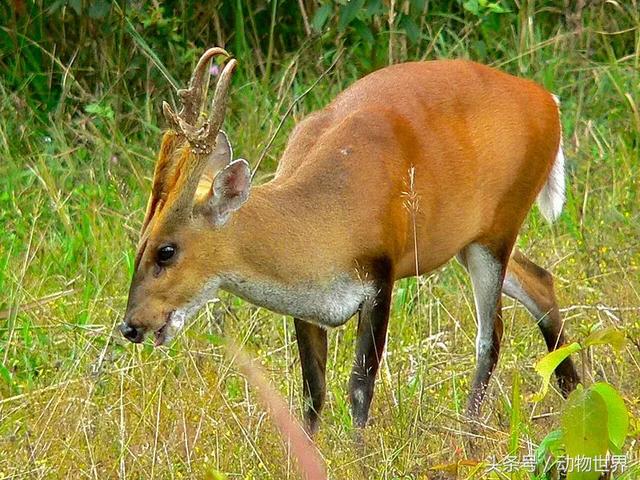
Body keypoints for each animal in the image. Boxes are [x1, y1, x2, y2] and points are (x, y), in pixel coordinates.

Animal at [120, 47, 580, 434]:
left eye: (166, 250)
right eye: (138, 246)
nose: (130, 326)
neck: (325, 220)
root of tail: (549, 101)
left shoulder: (380, 275)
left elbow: (360, 386)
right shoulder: (305, 304)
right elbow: (313, 391)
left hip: (500, 225)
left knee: (491, 334)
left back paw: (470, 433)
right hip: (470, 239)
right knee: (541, 280)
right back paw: (573, 393)